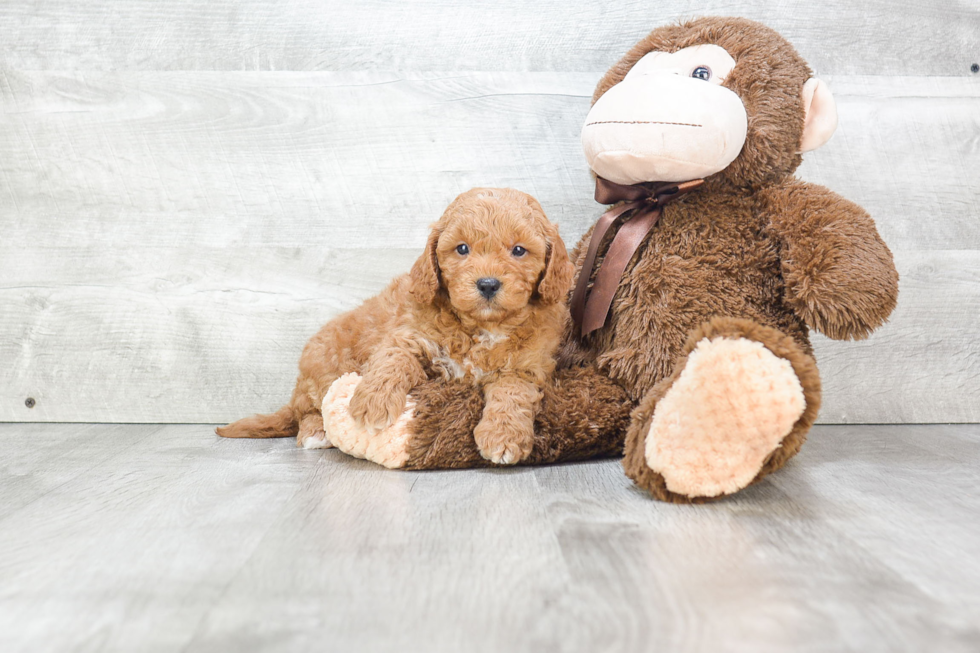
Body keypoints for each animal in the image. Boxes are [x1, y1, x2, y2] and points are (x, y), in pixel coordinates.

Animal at [220, 186, 576, 466]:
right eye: (462, 248)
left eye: (519, 250)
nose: (487, 284)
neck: (481, 327)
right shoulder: (409, 335)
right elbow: (393, 359)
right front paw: (372, 403)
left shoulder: (527, 366)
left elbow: (512, 393)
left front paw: (503, 436)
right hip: (322, 365)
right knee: (306, 411)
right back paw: (316, 432)